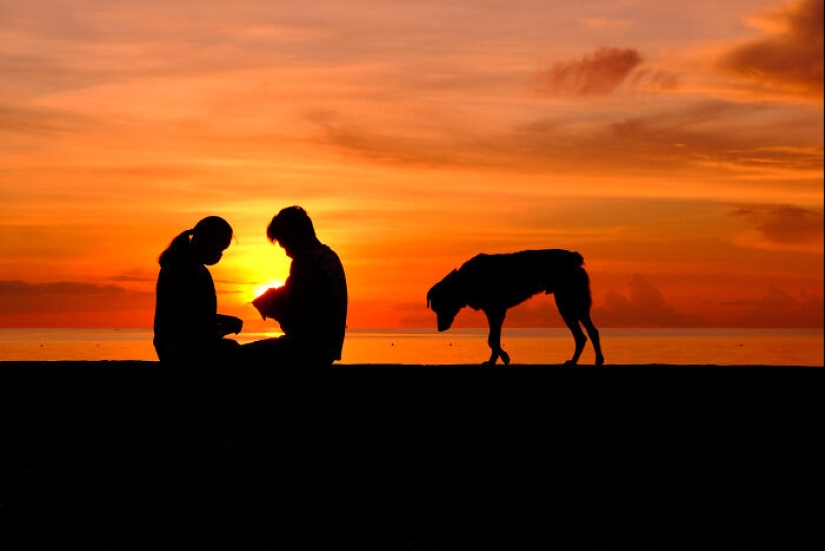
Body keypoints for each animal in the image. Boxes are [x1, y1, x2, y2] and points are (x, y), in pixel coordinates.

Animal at [428, 250, 600, 366]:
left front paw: (500, 359)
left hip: (567, 304)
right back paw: (588, 360)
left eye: (439, 307)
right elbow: (494, 339)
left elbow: (492, 339)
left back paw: (586, 360)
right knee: (588, 333)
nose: (439, 329)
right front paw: (496, 359)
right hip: (573, 304)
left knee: (583, 334)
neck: (464, 282)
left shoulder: (496, 311)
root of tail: (575, 258)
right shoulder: (493, 312)